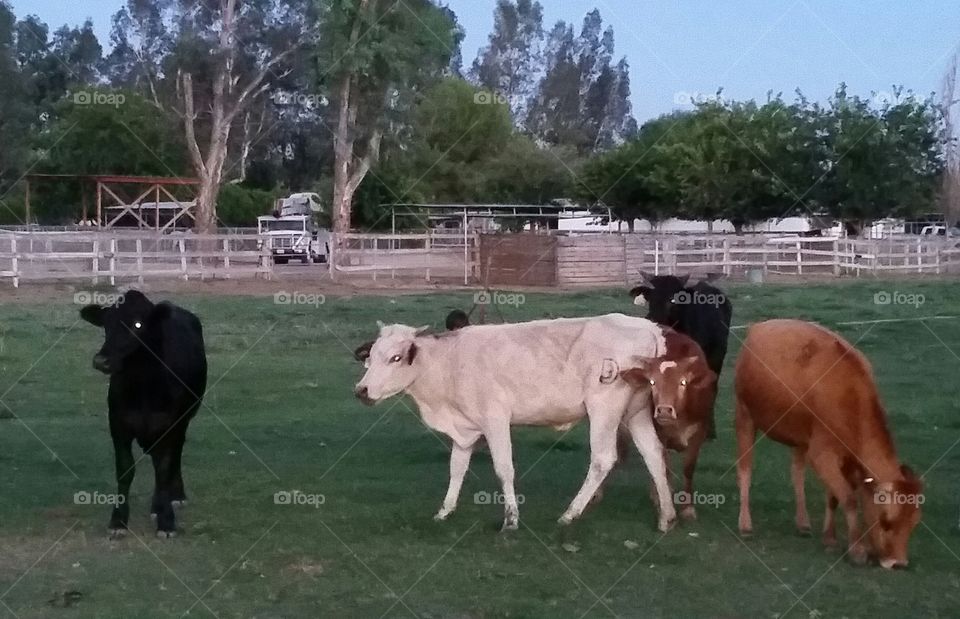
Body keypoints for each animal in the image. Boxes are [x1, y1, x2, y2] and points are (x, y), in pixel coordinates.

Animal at [80, 290, 207, 538]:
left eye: (138, 324)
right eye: (106, 324)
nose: (101, 361)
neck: (143, 387)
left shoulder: (169, 425)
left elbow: (164, 469)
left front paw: (166, 520)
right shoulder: (118, 424)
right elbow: (125, 469)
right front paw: (118, 520)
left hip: (185, 418)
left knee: (174, 454)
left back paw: (173, 498)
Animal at [353, 314, 678, 532]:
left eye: (396, 358)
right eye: (371, 357)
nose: (361, 391)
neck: (448, 362)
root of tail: (647, 327)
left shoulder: (495, 419)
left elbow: (504, 469)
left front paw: (511, 519)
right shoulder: (464, 429)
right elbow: (457, 468)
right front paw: (445, 511)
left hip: (604, 408)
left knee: (602, 459)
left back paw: (570, 514)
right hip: (635, 412)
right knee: (653, 454)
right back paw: (667, 516)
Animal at [620, 329, 718, 520]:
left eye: (683, 382)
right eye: (652, 382)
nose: (664, 410)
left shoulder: (700, 431)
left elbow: (688, 467)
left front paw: (688, 508)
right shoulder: (660, 433)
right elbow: (664, 466)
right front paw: (663, 499)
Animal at [734, 319, 922, 568]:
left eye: (914, 523)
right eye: (886, 521)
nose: (898, 563)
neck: (849, 396)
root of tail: (759, 325)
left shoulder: (847, 458)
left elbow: (835, 496)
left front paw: (830, 538)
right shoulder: (822, 454)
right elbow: (849, 499)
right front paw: (857, 550)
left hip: (800, 435)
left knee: (797, 472)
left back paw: (803, 523)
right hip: (745, 415)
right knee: (745, 468)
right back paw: (745, 524)